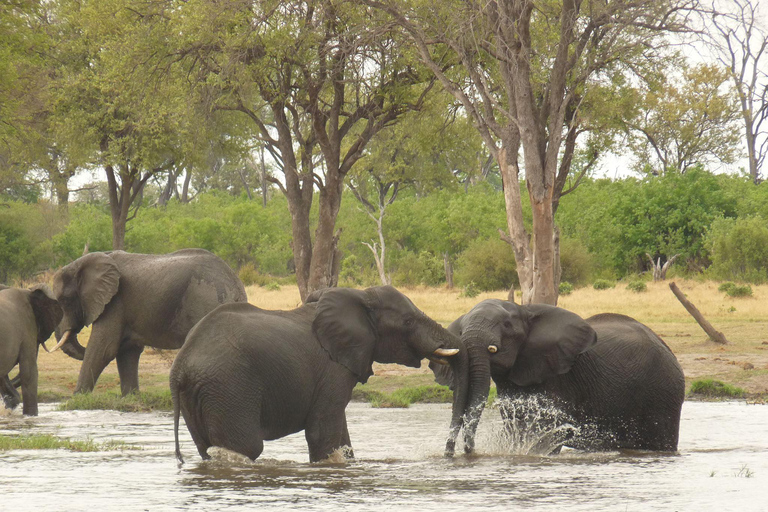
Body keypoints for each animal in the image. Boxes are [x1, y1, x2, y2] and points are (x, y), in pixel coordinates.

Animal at [51, 250, 248, 394]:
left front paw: (76, 400)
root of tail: (235, 284)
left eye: (65, 300)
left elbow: (104, 349)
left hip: (207, 302)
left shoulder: (114, 302)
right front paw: (131, 398)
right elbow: (126, 351)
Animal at [171, 288, 464, 464]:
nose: (447, 455)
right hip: (229, 387)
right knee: (246, 447)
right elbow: (323, 433)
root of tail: (180, 366)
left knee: (206, 448)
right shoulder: (334, 367)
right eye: (408, 322)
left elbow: (341, 436)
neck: (359, 296)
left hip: (202, 393)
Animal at [436, 300, 688, 456]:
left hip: (663, 390)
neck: (525, 310)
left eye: (507, 325)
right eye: (461, 331)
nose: (465, 451)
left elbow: (548, 432)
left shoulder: (558, 377)